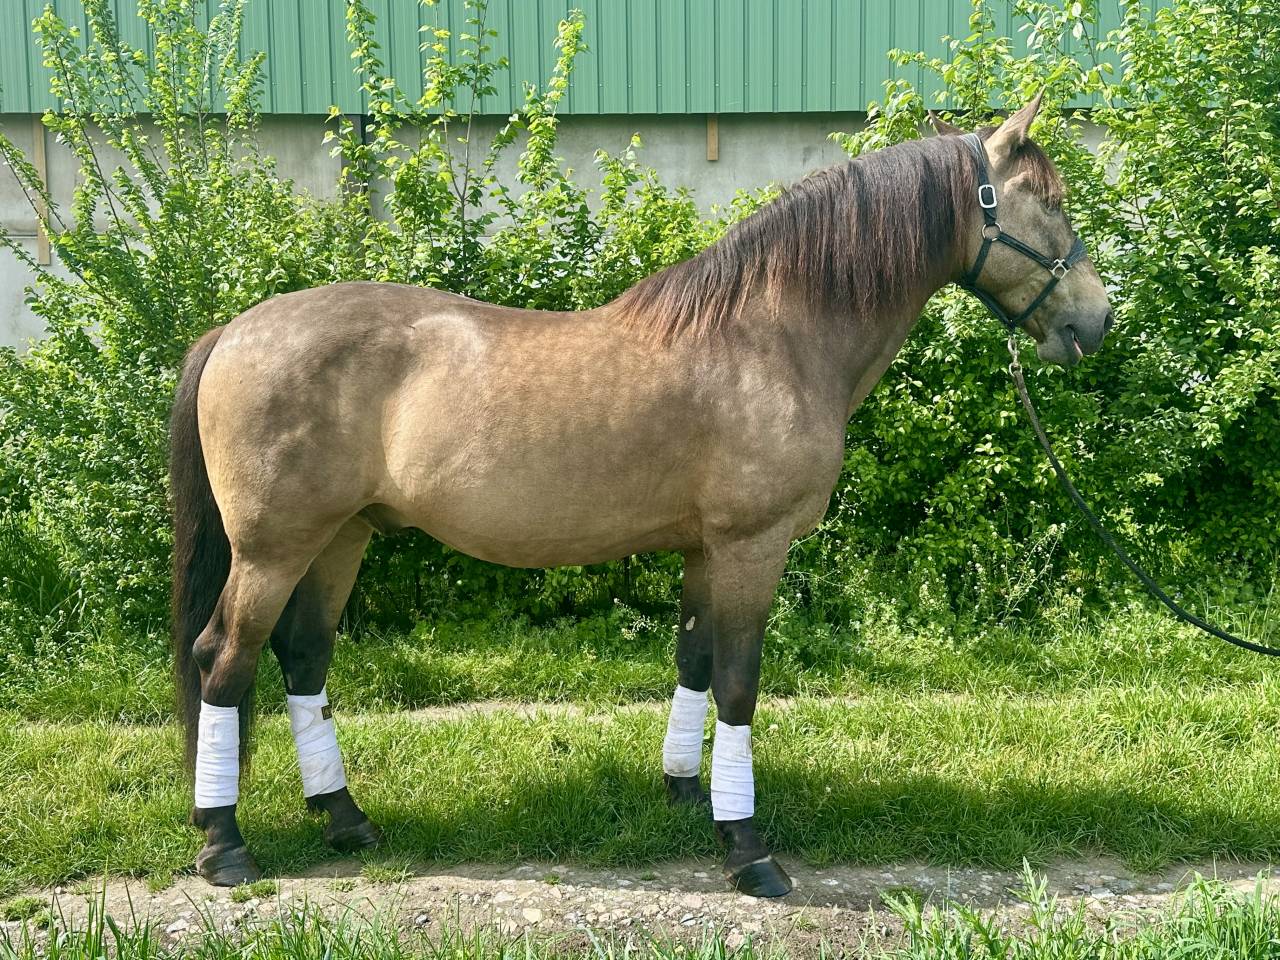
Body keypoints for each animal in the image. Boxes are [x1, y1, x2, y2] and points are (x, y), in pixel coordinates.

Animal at [170, 93, 1113, 897]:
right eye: (1052, 203)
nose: (1097, 323)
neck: (773, 337)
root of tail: (234, 331)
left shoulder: (703, 548)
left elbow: (693, 665)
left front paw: (690, 797)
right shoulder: (751, 546)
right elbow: (738, 684)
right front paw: (749, 851)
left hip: (342, 537)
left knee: (303, 658)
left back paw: (344, 819)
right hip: (275, 548)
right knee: (224, 660)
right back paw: (226, 845)